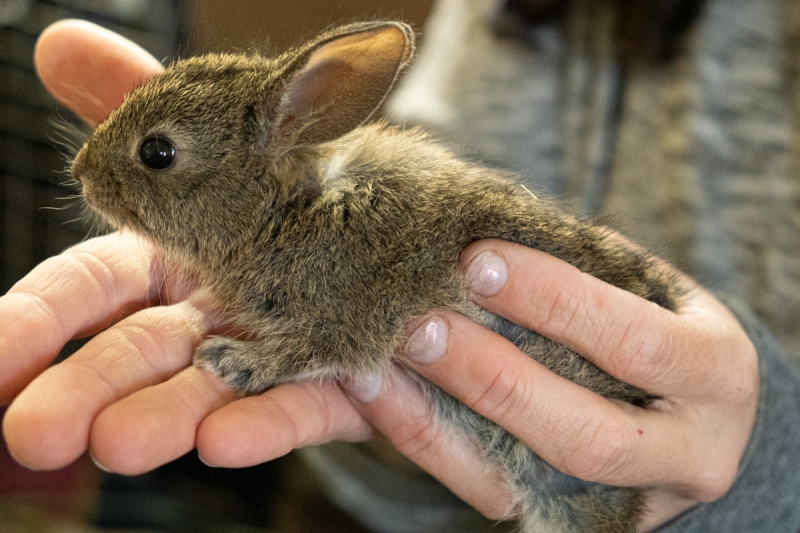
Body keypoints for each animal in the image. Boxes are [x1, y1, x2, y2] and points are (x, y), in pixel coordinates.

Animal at [69, 20, 681, 533]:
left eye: (158, 152)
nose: (81, 174)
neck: (286, 211)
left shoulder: (337, 321)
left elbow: (303, 353)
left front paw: (231, 360)